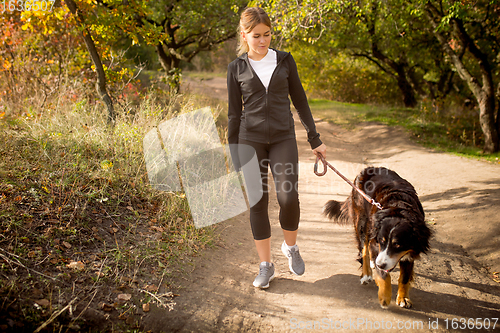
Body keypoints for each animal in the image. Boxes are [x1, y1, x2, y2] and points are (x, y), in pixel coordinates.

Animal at [324, 166, 430, 308]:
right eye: (381, 241)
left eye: (398, 245)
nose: (380, 264)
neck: (398, 208)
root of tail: (369, 168)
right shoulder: (375, 243)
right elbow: (384, 275)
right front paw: (384, 297)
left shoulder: (409, 250)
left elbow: (405, 277)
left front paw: (403, 298)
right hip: (362, 222)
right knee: (364, 249)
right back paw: (366, 274)